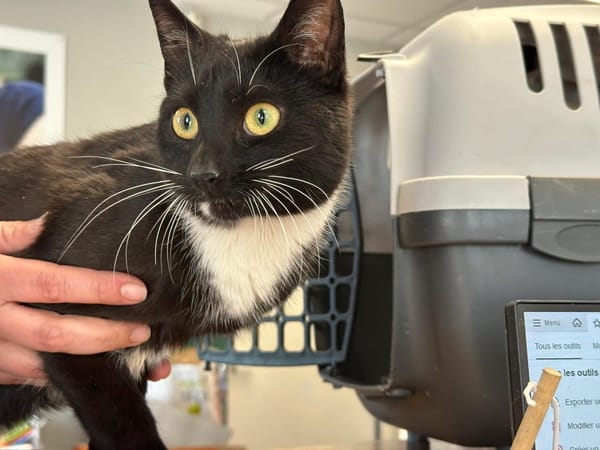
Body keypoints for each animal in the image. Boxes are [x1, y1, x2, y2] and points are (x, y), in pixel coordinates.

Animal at [0, 0, 351, 448]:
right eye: (185, 121)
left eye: (262, 116)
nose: (203, 173)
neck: (235, 238)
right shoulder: (67, 330)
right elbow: (120, 421)